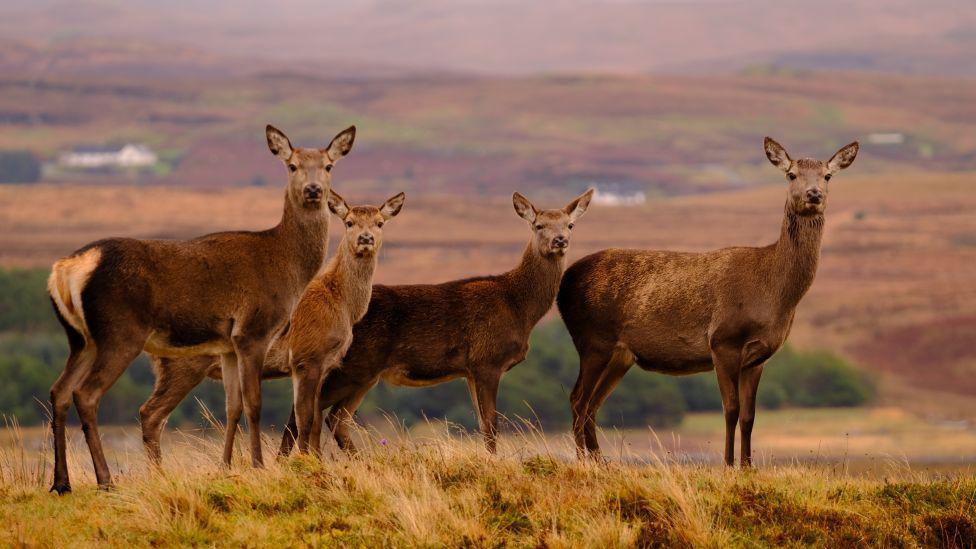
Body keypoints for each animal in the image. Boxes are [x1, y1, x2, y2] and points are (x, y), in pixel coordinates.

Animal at [45, 124, 355, 493]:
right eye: (292, 165)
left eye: (328, 166)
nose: (313, 190)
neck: (288, 267)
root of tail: (66, 269)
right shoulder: (254, 330)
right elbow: (254, 403)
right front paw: (258, 465)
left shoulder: (228, 345)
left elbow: (233, 406)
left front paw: (229, 467)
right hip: (119, 332)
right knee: (87, 394)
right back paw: (105, 480)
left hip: (80, 339)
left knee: (59, 391)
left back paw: (61, 482)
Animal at [145, 189, 594, 456]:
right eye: (538, 224)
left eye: (570, 224)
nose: (560, 241)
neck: (518, 306)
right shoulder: (485, 359)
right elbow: (491, 425)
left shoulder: (470, 368)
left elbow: (485, 423)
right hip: (351, 366)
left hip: (361, 372)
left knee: (328, 419)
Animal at [556, 138, 858, 467]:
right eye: (791, 174)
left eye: (827, 176)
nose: (813, 194)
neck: (775, 294)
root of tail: (563, 282)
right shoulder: (722, 341)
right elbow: (731, 410)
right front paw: (727, 465)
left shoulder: (759, 356)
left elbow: (750, 416)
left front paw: (748, 467)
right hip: (593, 338)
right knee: (577, 399)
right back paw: (584, 462)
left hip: (620, 355)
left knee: (592, 405)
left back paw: (602, 463)